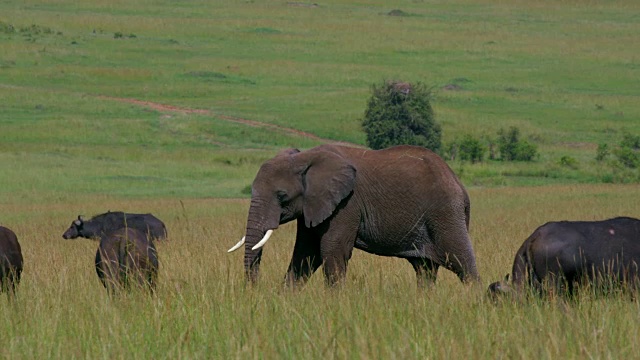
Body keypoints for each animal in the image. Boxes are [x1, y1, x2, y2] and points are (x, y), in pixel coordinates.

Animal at [228, 143, 478, 286]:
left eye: (282, 196)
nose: (254, 290)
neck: (305, 157)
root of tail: (458, 183)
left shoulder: (347, 204)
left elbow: (332, 250)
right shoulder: (313, 205)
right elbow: (306, 253)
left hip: (445, 213)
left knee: (462, 262)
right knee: (424, 269)